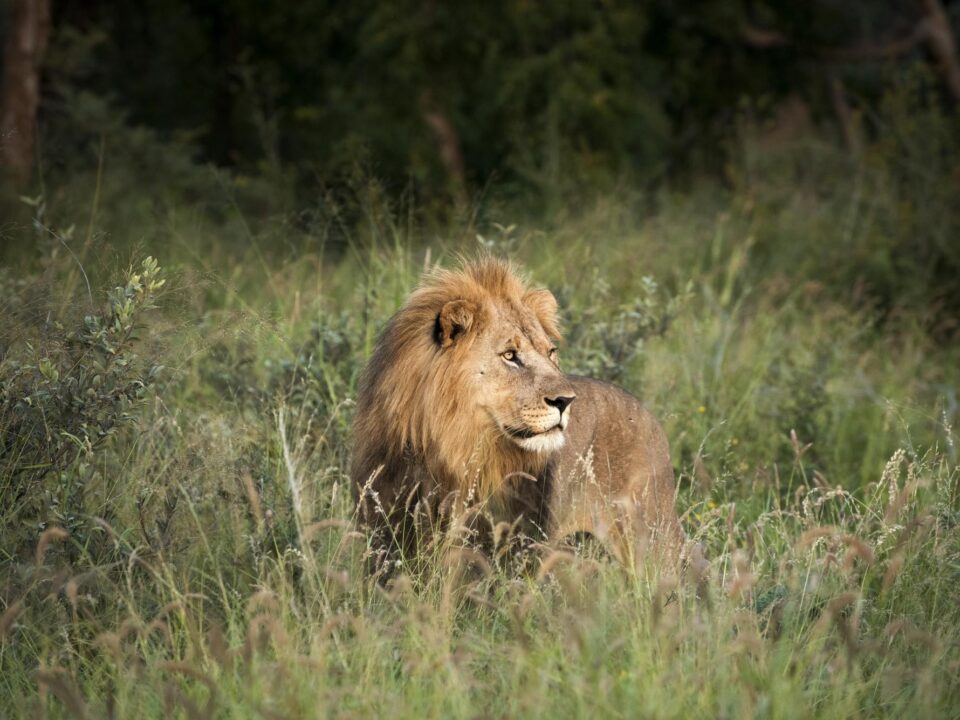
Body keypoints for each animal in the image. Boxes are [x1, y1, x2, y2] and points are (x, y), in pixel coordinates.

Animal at [350, 256, 684, 572]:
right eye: (510, 355)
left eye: (550, 352)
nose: (566, 401)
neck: (445, 448)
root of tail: (647, 414)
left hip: (654, 540)